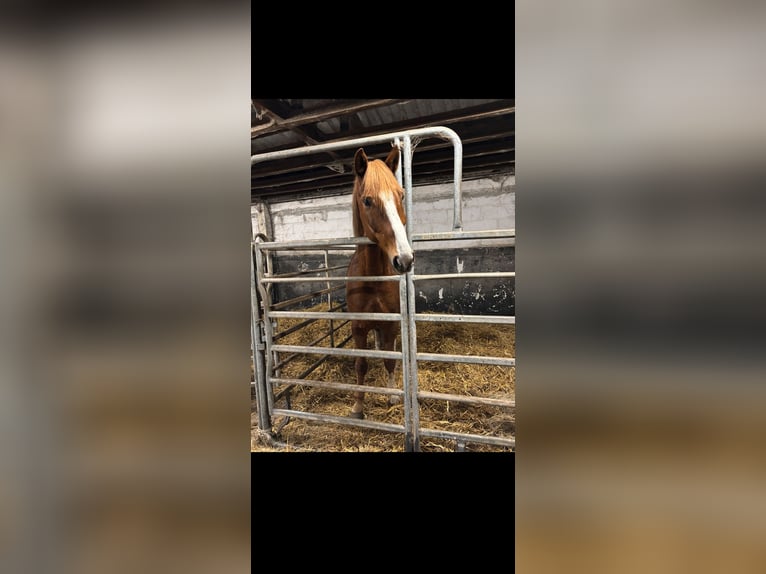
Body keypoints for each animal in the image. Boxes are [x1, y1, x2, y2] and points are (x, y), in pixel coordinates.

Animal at [345, 146, 415, 419]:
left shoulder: (390, 324)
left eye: (401, 195)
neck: (373, 278)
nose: (404, 259)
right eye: (367, 200)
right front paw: (358, 405)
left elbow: (390, 360)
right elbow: (360, 364)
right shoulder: (358, 326)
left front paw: (392, 395)